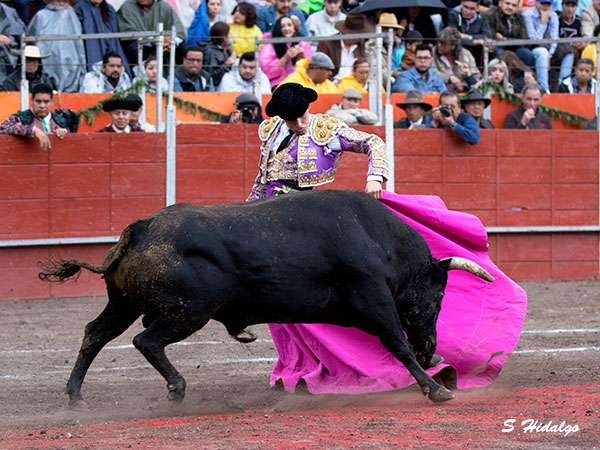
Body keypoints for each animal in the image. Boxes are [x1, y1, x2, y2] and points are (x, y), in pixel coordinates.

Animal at [39, 190, 494, 408]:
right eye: (437, 297)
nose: (432, 348)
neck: (380, 240)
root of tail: (140, 229)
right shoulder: (375, 301)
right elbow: (396, 343)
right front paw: (435, 389)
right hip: (187, 313)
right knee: (145, 341)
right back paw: (176, 389)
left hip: (124, 303)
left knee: (95, 334)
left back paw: (76, 396)